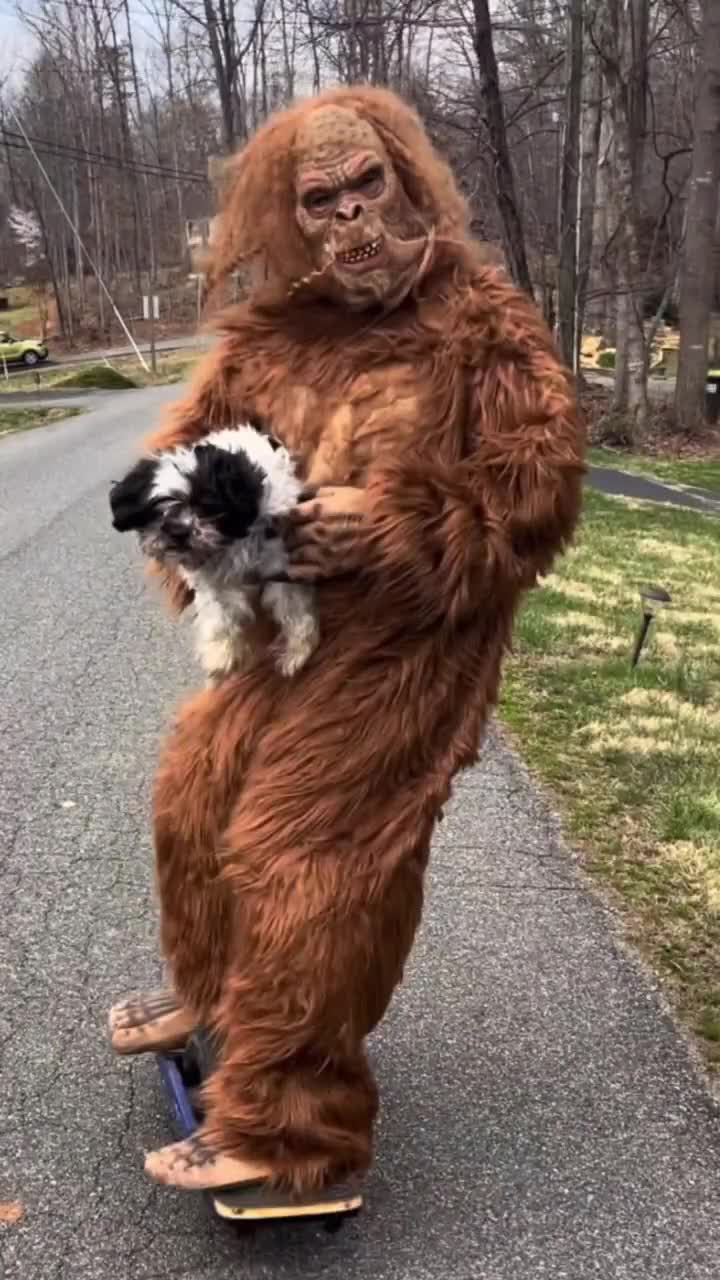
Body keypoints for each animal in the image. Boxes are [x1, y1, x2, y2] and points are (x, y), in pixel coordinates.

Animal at [108, 424, 316, 680]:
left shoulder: (279, 565)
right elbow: (220, 616)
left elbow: (291, 608)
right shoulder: (213, 581)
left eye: (207, 505)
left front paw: (297, 651)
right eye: (159, 505)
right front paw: (221, 653)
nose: (178, 530)